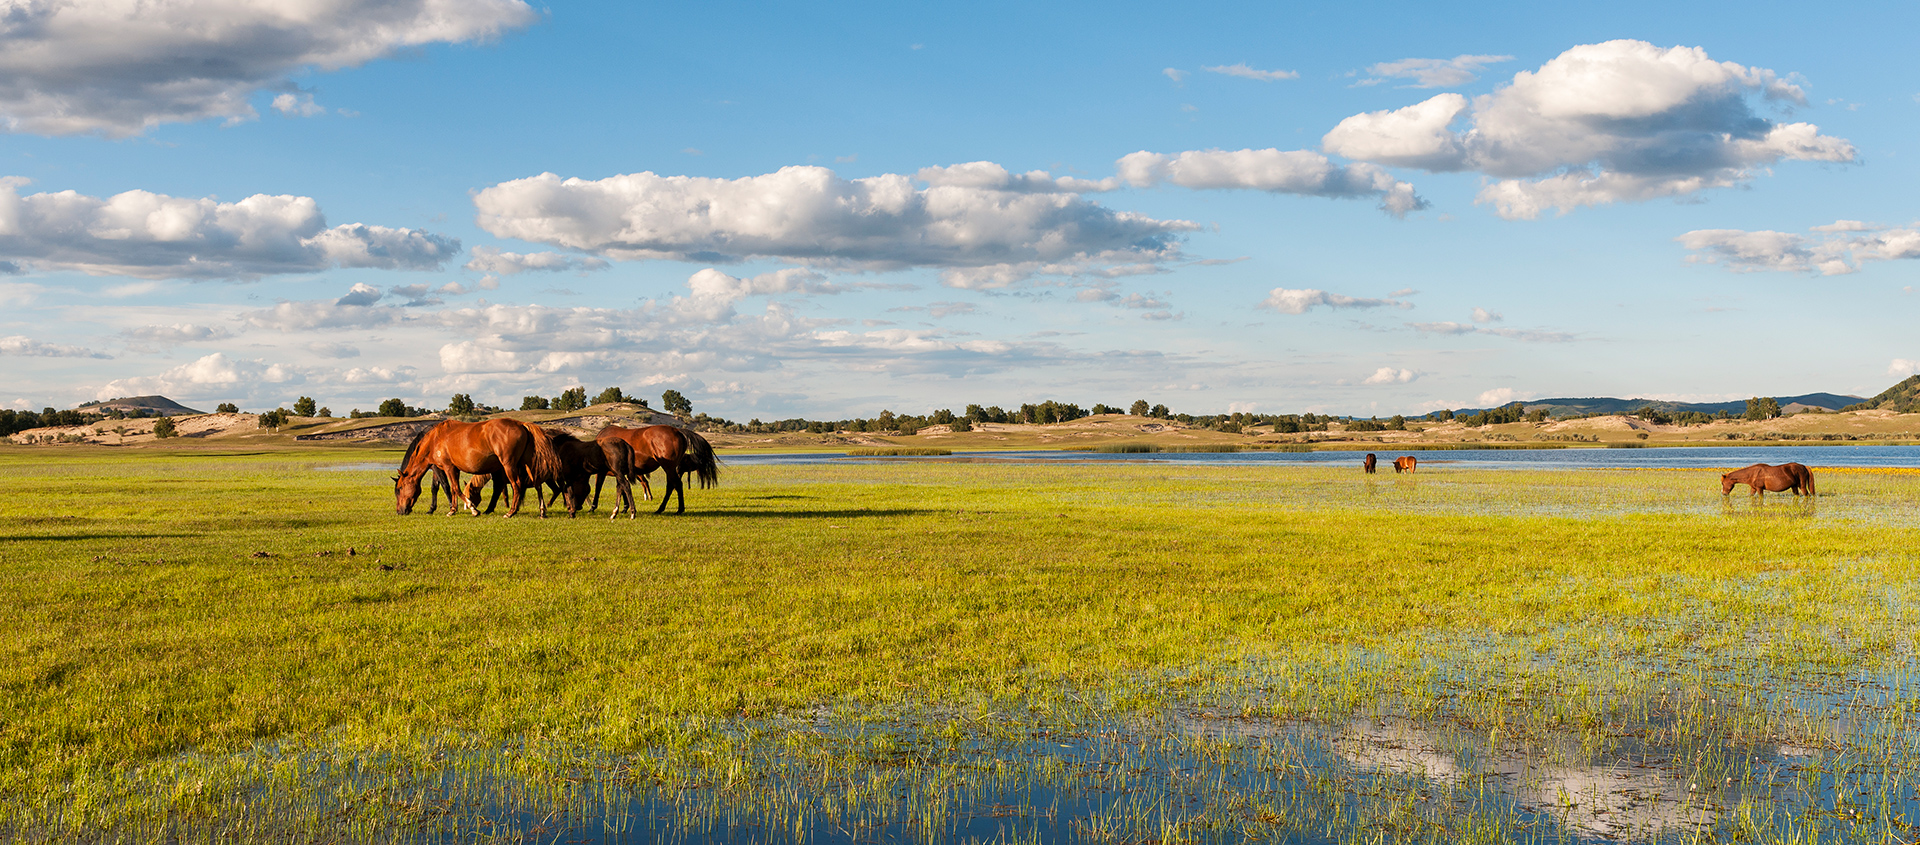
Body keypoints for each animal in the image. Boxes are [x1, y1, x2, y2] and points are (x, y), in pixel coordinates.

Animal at [391, 416, 560, 514]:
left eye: (399, 489)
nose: (400, 511)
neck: (435, 439)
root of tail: (522, 424)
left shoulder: (447, 467)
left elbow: (453, 488)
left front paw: (472, 508)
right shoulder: (447, 468)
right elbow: (450, 489)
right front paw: (453, 509)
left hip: (509, 465)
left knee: (517, 485)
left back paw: (511, 512)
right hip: (526, 463)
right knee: (537, 483)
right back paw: (542, 510)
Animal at [591, 426, 721, 510]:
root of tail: (677, 431)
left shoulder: (602, 472)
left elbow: (598, 488)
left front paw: (593, 507)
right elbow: (622, 488)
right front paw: (625, 507)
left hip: (668, 467)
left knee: (676, 485)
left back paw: (677, 509)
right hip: (671, 468)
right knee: (671, 486)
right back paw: (661, 508)